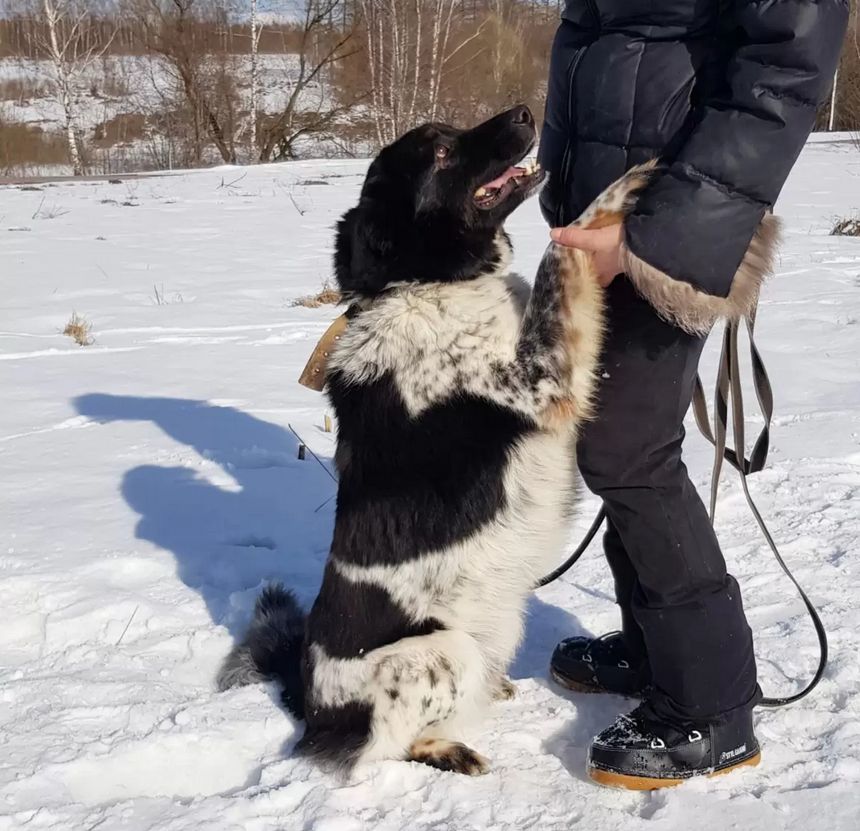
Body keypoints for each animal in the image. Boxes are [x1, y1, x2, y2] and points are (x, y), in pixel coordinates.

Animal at [218, 107, 656, 776]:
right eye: (443, 152)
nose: (525, 112)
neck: (426, 283)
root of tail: (309, 705)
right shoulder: (542, 376)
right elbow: (562, 252)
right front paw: (625, 185)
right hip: (443, 650)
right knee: (384, 751)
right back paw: (448, 748)